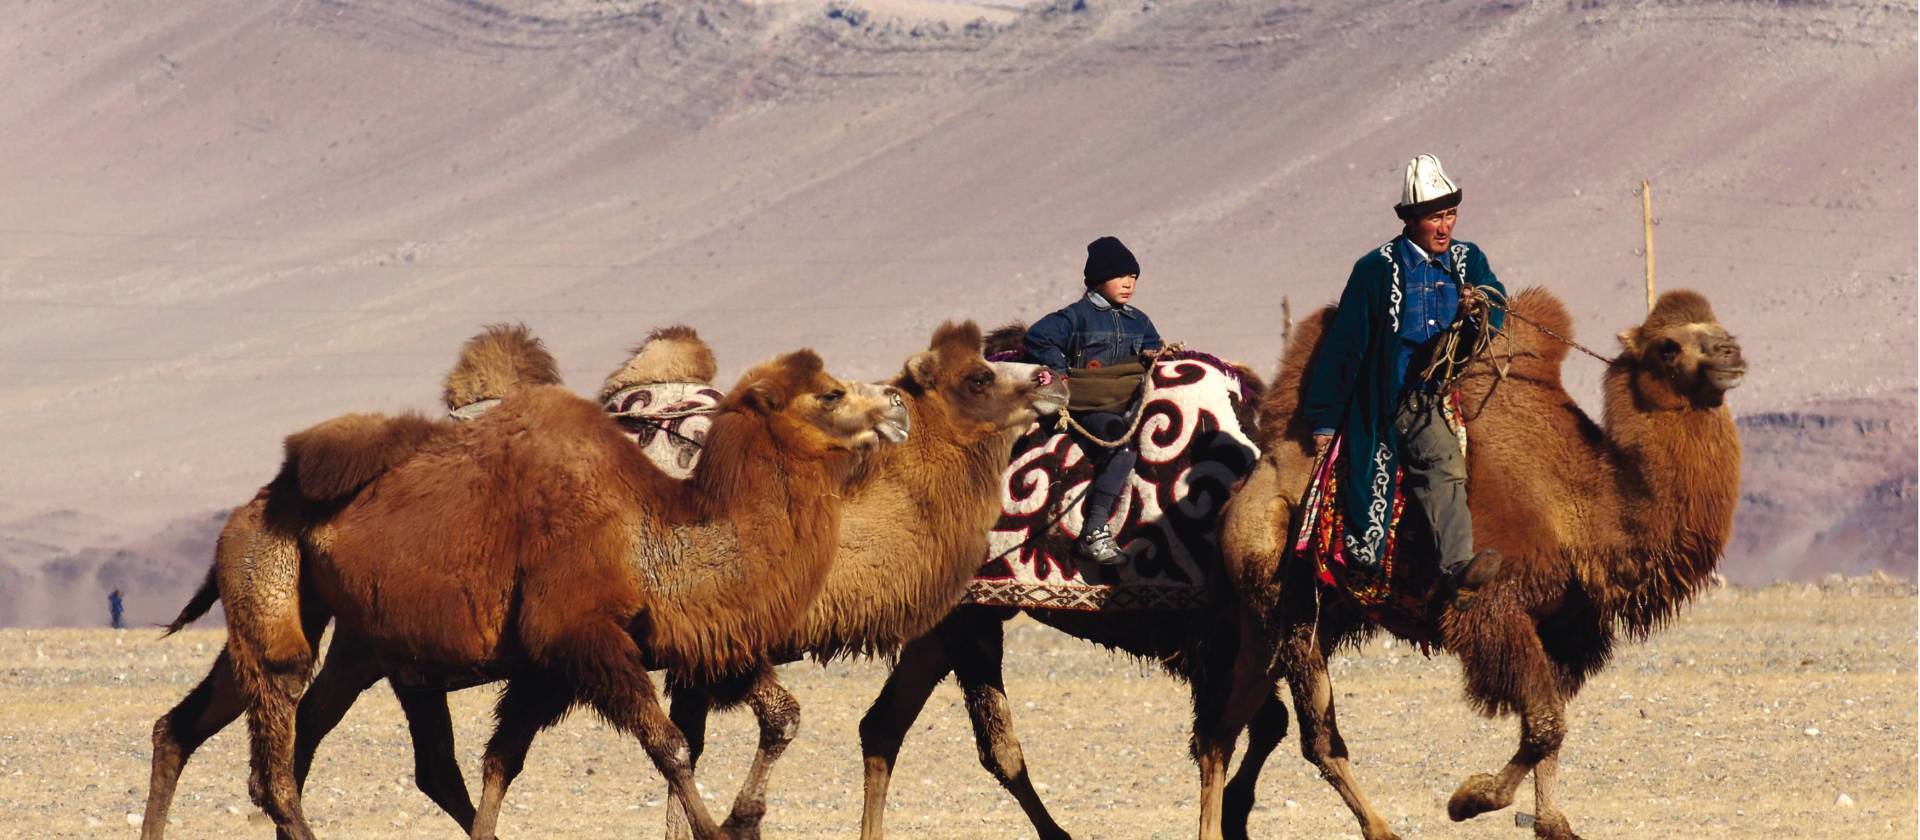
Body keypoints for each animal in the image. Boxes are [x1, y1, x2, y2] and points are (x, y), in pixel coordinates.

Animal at [146, 343, 911, 840]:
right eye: (831, 393)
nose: (899, 405)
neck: (649, 533)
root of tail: (249, 510)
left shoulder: (562, 663)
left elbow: (501, 759)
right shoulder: (582, 637)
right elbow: (669, 745)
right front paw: (721, 829)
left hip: (331, 626)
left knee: (195, 728)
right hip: (270, 585)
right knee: (275, 753)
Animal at [1213, 288, 1745, 840]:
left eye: (1721, 329)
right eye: (1668, 346)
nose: (1730, 353)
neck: (1581, 504)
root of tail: (1242, 493)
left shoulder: (1564, 629)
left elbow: (1546, 727)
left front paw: (1551, 821)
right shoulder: (1495, 610)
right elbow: (1545, 726)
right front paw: (1470, 799)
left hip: (1288, 616)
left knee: (1225, 724)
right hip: (1288, 604)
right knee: (1313, 736)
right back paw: (1378, 827)